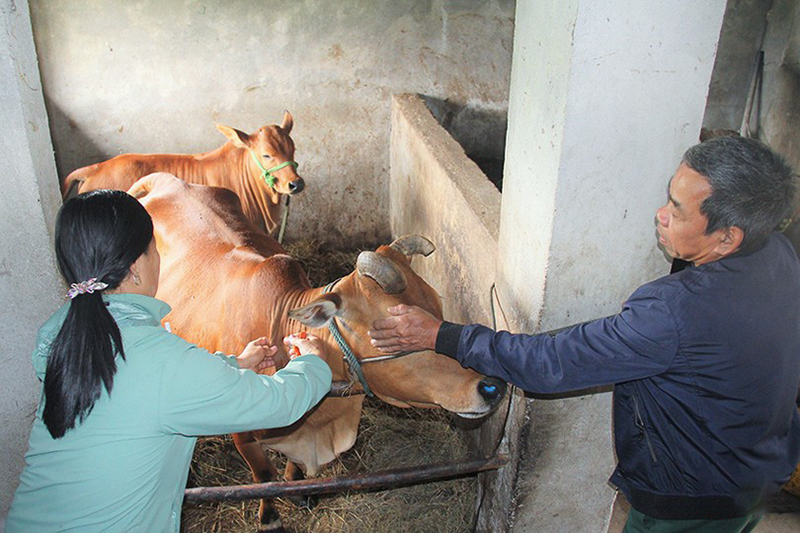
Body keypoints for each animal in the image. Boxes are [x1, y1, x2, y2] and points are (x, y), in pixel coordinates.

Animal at [130, 172, 506, 528]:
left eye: (438, 310)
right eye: (395, 329)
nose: (491, 386)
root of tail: (167, 180)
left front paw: (300, 493)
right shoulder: (243, 435)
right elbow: (263, 476)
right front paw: (271, 518)